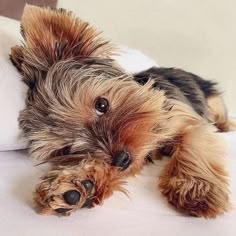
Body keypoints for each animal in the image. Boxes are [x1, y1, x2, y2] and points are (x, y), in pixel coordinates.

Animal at [10, 4, 235, 218]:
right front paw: (81, 183)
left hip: (213, 100)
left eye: (101, 104)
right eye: (67, 150)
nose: (121, 160)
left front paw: (197, 189)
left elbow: (194, 147)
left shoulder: (189, 120)